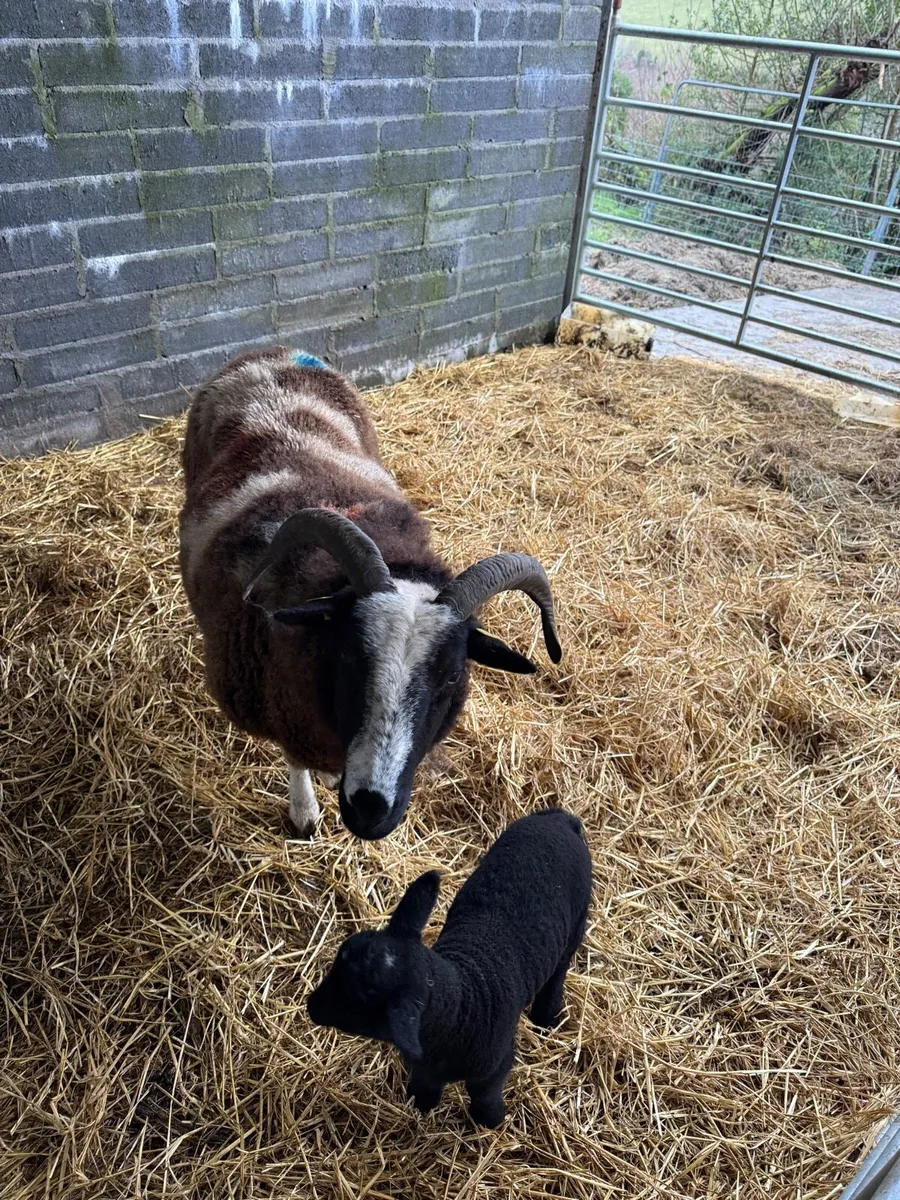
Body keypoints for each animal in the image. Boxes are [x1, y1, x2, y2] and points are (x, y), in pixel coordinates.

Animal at [179, 346, 561, 841]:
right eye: (346, 657)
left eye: (452, 677)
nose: (370, 809)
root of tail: (269, 352)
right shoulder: (280, 704)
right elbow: (294, 757)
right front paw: (304, 812)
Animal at [306, 808, 592, 1127]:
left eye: (358, 1003)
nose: (311, 1006)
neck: (462, 1004)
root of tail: (559, 819)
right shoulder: (424, 1066)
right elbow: (425, 1085)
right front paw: (421, 1103)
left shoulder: (495, 1067)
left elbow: (484, 1095)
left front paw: (491, 1121)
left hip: (577, 922)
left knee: (559, 971)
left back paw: (546, 1019)